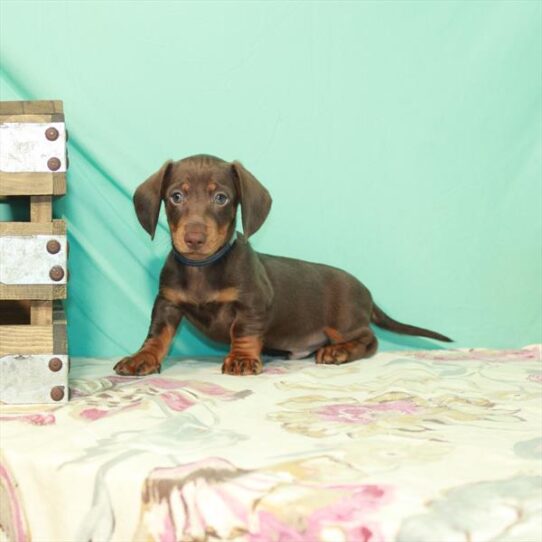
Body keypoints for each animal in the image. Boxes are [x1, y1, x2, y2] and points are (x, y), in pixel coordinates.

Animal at [113, 155, 450, 376]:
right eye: (176, 196)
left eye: (221, 198)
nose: (194, 238)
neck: (203, 267)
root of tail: (366, 291)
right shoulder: (167, 304)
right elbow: (157, 335)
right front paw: (142, 357)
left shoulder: (253, 303)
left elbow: (244, 331)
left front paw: (242, 358)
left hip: (343, 322)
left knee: (370, 340)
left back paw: (339, 351)